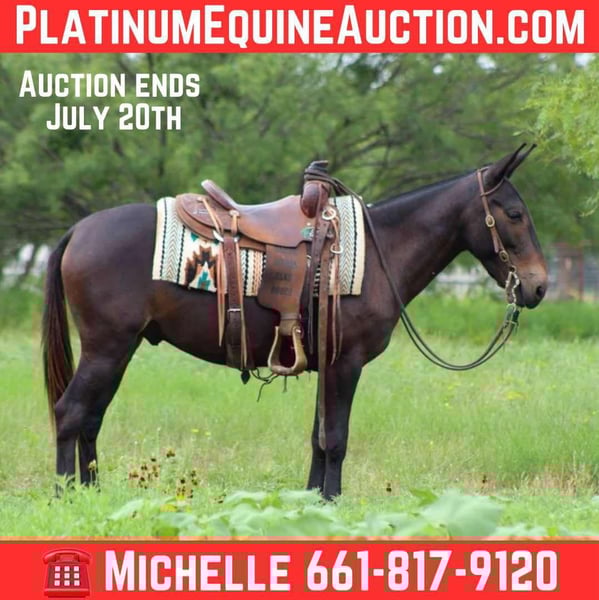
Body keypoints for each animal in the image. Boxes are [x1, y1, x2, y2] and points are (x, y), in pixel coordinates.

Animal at [42, 145, 548, 500]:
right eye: (515, 214)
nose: (540, 286)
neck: (380, 250)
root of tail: (79, 230)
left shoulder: (328, 365)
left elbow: (318, 438)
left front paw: (310, 501)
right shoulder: (346, 363)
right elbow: (336, 438)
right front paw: (332, 503)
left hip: (118, 349)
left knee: (90, 418)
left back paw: (92, 493)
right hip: (107, 348)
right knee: (71, 413)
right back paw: (65, 496)